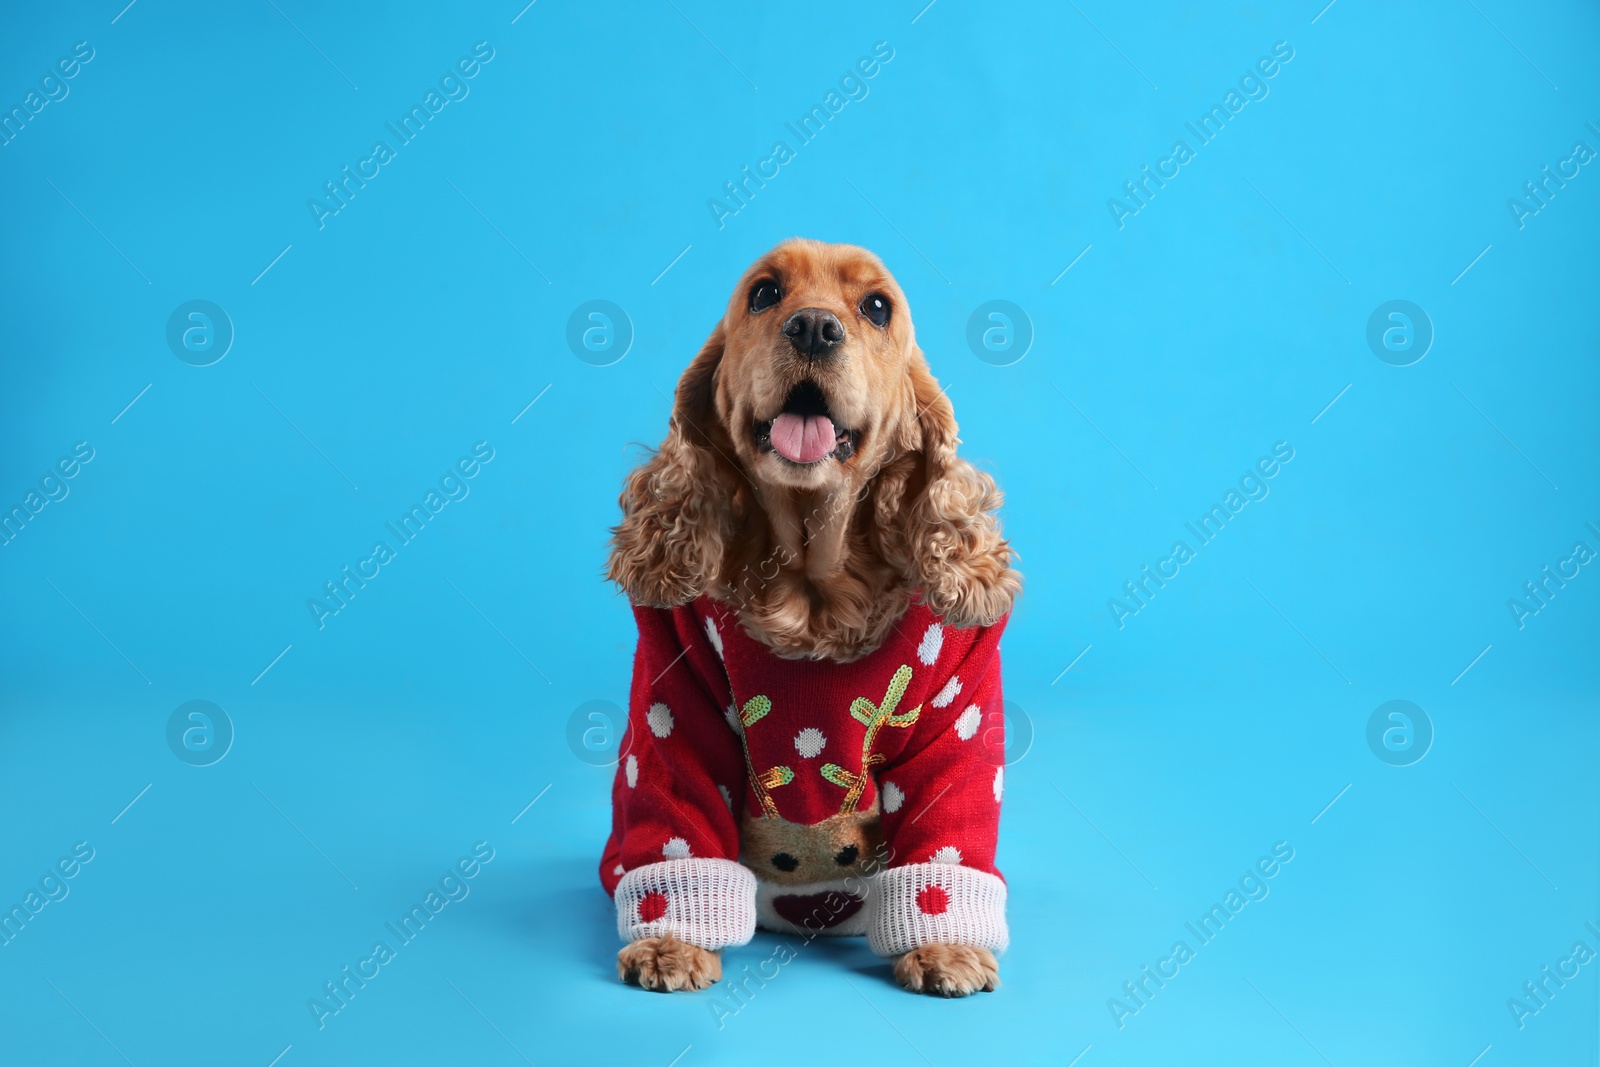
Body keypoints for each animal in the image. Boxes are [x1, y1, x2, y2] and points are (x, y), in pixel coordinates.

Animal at [595, 238, 1017, 998]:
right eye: (765, 293)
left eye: (876, 306)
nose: (815, 327)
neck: (814, 585)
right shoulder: (673, 698)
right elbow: (679, 818)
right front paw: (672, 939)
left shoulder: (963, 707)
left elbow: (947, 826)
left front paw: (944, 946)